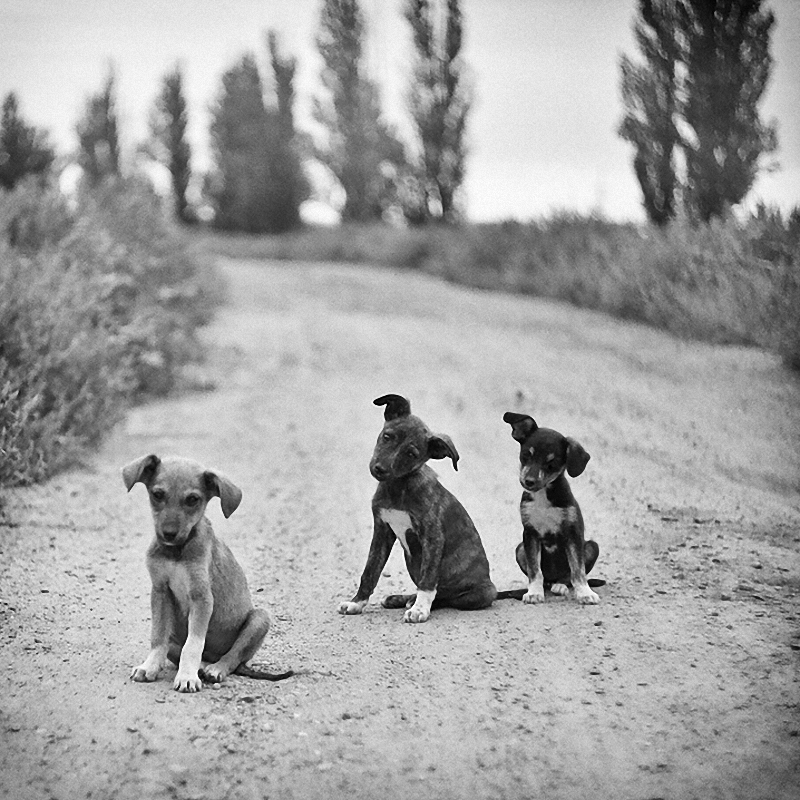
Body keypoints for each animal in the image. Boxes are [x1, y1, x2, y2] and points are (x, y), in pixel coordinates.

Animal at [123, 456, 290, 692]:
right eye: (157, 494)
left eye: (193, 499)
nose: (169, 533)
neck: (177, 552)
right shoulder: (160, 592)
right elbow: (158, 637)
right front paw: (150, 666)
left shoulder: (201, 597)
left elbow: (193, 644)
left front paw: (187, 677)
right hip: (175, 635)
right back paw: (201, 666)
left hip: (260, 618)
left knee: (232, 658)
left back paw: (214, 669)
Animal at [340, 396, 500, 620]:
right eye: (387, 436)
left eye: (411, 454)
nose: (380, 469)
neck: (398, 487)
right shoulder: (382, 530)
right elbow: (370, 571)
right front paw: (356, 603)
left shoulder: (432, 536)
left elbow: (428, 579)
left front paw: (419, 609)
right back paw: (400, 598)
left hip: (482, 593)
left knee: (445, 597)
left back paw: (412, 602)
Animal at [504, 416, 604, 604]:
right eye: (526, 455)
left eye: (551, 464)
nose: (529, 482)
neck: (543, 496)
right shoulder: (530, 534)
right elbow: (535, 570)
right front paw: (534, 593)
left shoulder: (573, 533)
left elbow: (577, 569)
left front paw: (585, 593)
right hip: (520, 549)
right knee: (545, 579)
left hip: (591, 547)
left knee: (566, 577)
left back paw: (561, 586)